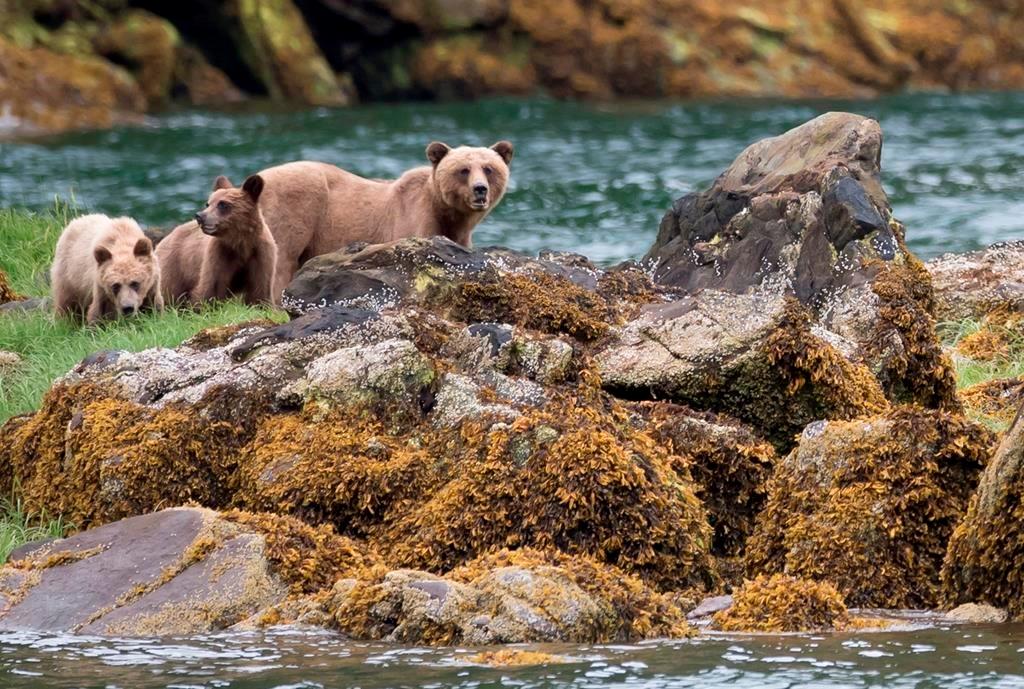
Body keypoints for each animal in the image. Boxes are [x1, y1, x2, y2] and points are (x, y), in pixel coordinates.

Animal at [156, 174, 279, 306]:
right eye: (208, 203)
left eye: (222, 204)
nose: (200, 216)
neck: (240, 242)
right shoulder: (220, 254)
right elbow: (210, 289)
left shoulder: (260, 254)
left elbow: (260, 291)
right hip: (174, 266)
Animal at [166, 141, 513, 303]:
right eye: (463, 170)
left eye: (489, 168)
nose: (480, 189)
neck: (448, 212)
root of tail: (259, 178)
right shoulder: (414, 218)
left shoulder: (459, 234)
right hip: (295, 211)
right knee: (281, 260)